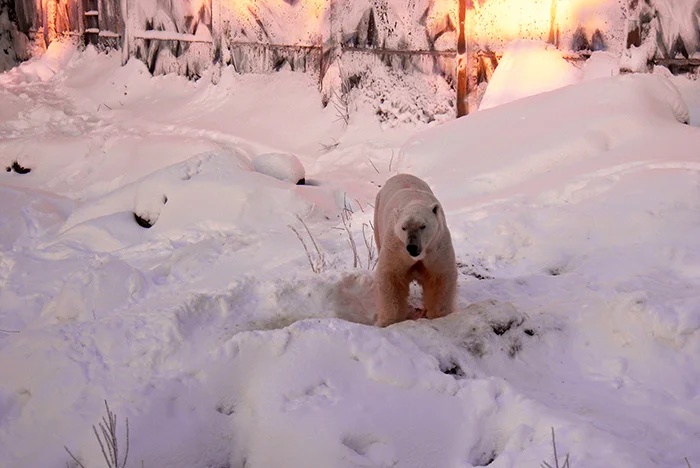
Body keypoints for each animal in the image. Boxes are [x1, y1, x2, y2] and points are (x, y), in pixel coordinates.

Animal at [372, 174, 460, 328]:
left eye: (423, 226)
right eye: (403, 227)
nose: (412, 247)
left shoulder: (436, 246)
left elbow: (440, 276)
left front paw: (437, 315)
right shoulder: (396, 246)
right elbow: (391, 275)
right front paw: (389, 321)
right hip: (377, 219)